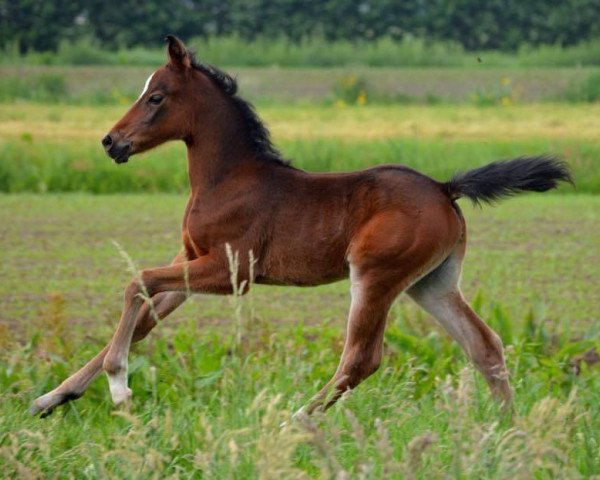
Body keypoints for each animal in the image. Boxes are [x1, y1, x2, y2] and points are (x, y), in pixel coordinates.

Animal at [29, 35, 572, 416]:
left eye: (156, 97)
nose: (110, 142)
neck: (227, 177)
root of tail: (444, 187)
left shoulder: (232, 273)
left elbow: (135, 282)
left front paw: (119, 387)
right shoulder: (192, 262)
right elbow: (141, 317)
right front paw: (51, 398)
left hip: (375, 275)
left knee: (362, 358)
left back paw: (297, 420)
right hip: (432, 284)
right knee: (485, 347)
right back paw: (508, 429)